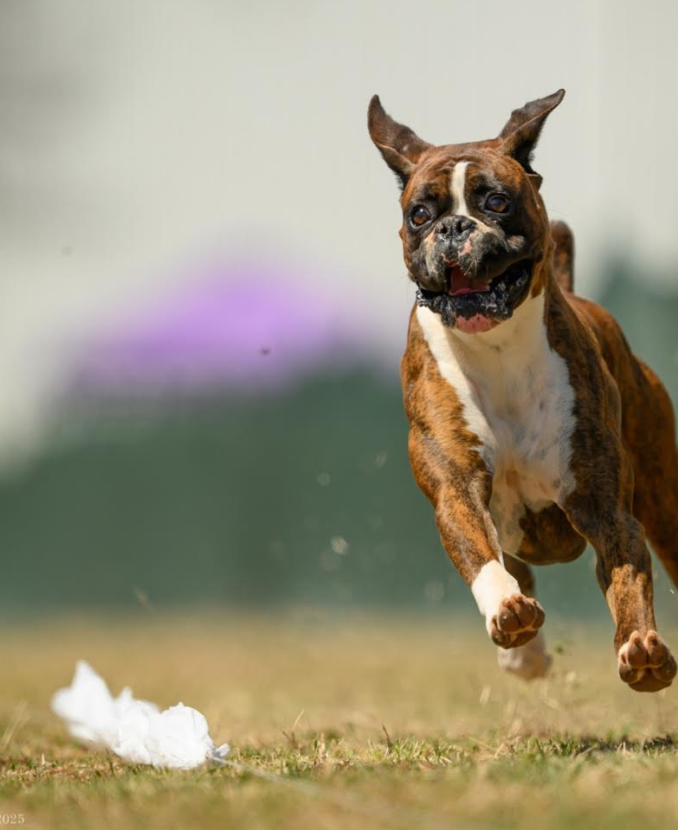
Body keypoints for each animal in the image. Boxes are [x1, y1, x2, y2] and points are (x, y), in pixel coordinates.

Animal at [368, 90, 678, 692]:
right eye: (421, 214)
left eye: (496, 202)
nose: (454, 229)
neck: (497, 348)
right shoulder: (456, 485)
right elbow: (482, 552)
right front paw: (507, 614)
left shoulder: (603, 504)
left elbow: (627, 576)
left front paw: (642, 647)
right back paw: (523, 652)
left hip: (665, 499)